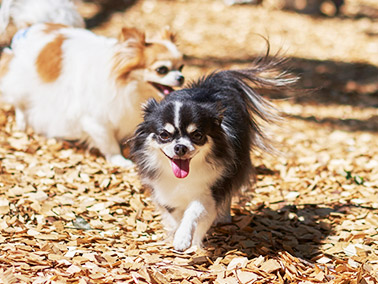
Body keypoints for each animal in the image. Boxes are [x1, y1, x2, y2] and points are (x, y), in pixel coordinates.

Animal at [0, 24, 185, 168]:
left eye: (181, 67)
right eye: (162, 70)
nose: (181, 77)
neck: (127, 86)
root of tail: (30, 28)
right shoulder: (95, 120)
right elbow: (108, 141)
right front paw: (119, 159)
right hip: (22, 83)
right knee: (19, 102)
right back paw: (22, 123)